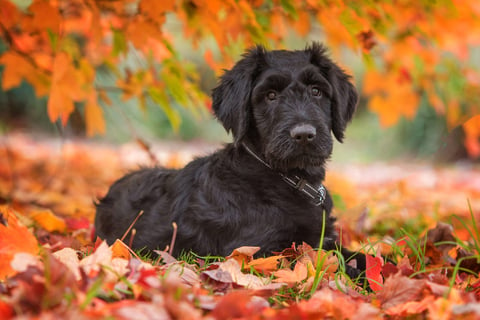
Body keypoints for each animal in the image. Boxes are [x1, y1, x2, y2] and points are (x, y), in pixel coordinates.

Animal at [94, 42, 364, 272]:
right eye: (271, 95)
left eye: (317, 91)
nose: (305, 134)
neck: (284, 177)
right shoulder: (258, 252)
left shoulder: (323, 239)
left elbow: (360, 257)